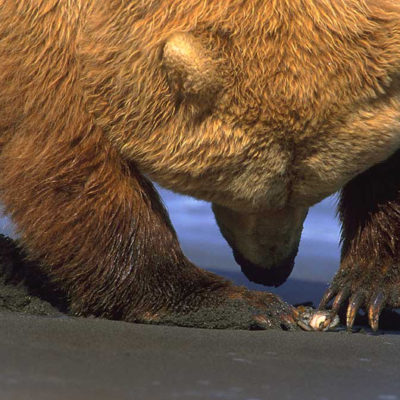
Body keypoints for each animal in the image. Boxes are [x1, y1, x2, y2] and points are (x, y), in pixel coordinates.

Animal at [0, 0, 398, 330]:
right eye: (240, 193)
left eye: (311, 196)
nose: (271, 271)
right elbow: (62, 138)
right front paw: (238, 303)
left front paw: (362, 288)